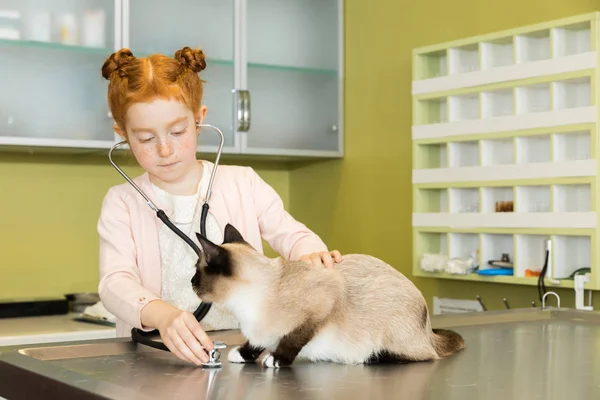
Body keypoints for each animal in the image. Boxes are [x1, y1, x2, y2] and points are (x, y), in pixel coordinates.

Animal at [192, 223, 464, 368]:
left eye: (197, 271)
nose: (191, 282)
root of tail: (428, 328)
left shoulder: (325, 300)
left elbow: (292, 338)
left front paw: (276, 359)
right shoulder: (261, 330)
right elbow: (256, 341)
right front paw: (243, 354)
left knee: (424, 356)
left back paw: (371, 358)